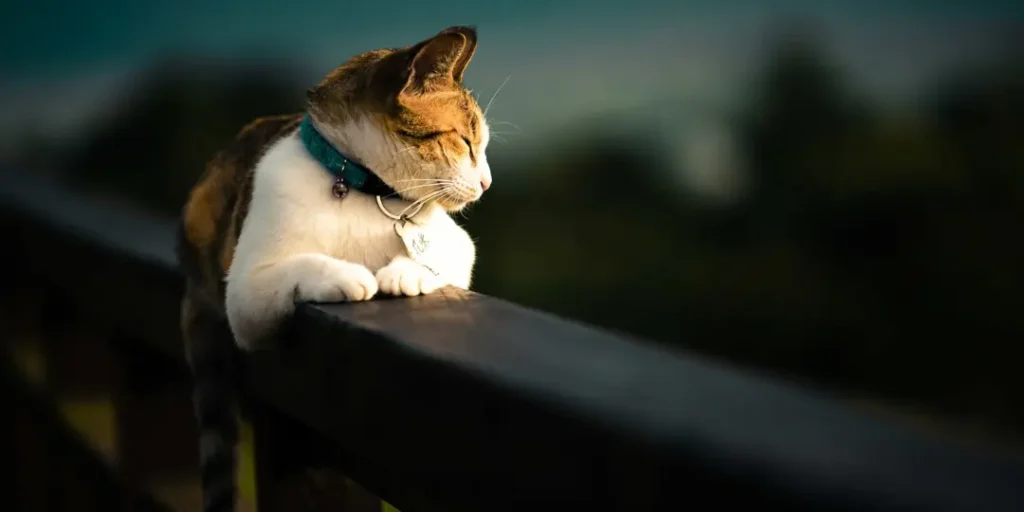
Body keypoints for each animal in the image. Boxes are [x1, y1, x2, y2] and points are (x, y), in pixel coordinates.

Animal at [174, 27, 489, 512]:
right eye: (467, 143)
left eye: (481, 146)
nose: (487, 182)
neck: (364, 189)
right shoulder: (244, 292)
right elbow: (301, 263)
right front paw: (349, 276)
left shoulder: (458, 243)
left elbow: (441, 257)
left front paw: (406, 273)